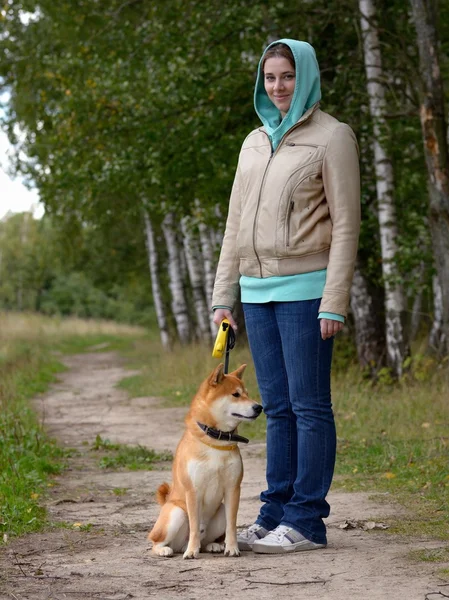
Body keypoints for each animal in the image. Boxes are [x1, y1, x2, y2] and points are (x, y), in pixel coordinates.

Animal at [148, 364, 260, 560]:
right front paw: (192, 551)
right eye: (236, 394)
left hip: (221, 510)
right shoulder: (193, 491)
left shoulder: (233, 488)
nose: (259, 407)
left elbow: (232, 526)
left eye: (247, 393)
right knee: (156, 541)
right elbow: (194, 526)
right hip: (176, 513)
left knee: (208, 538)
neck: (215, 440)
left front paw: (232, 548)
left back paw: (212, 545)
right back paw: (167, 549)